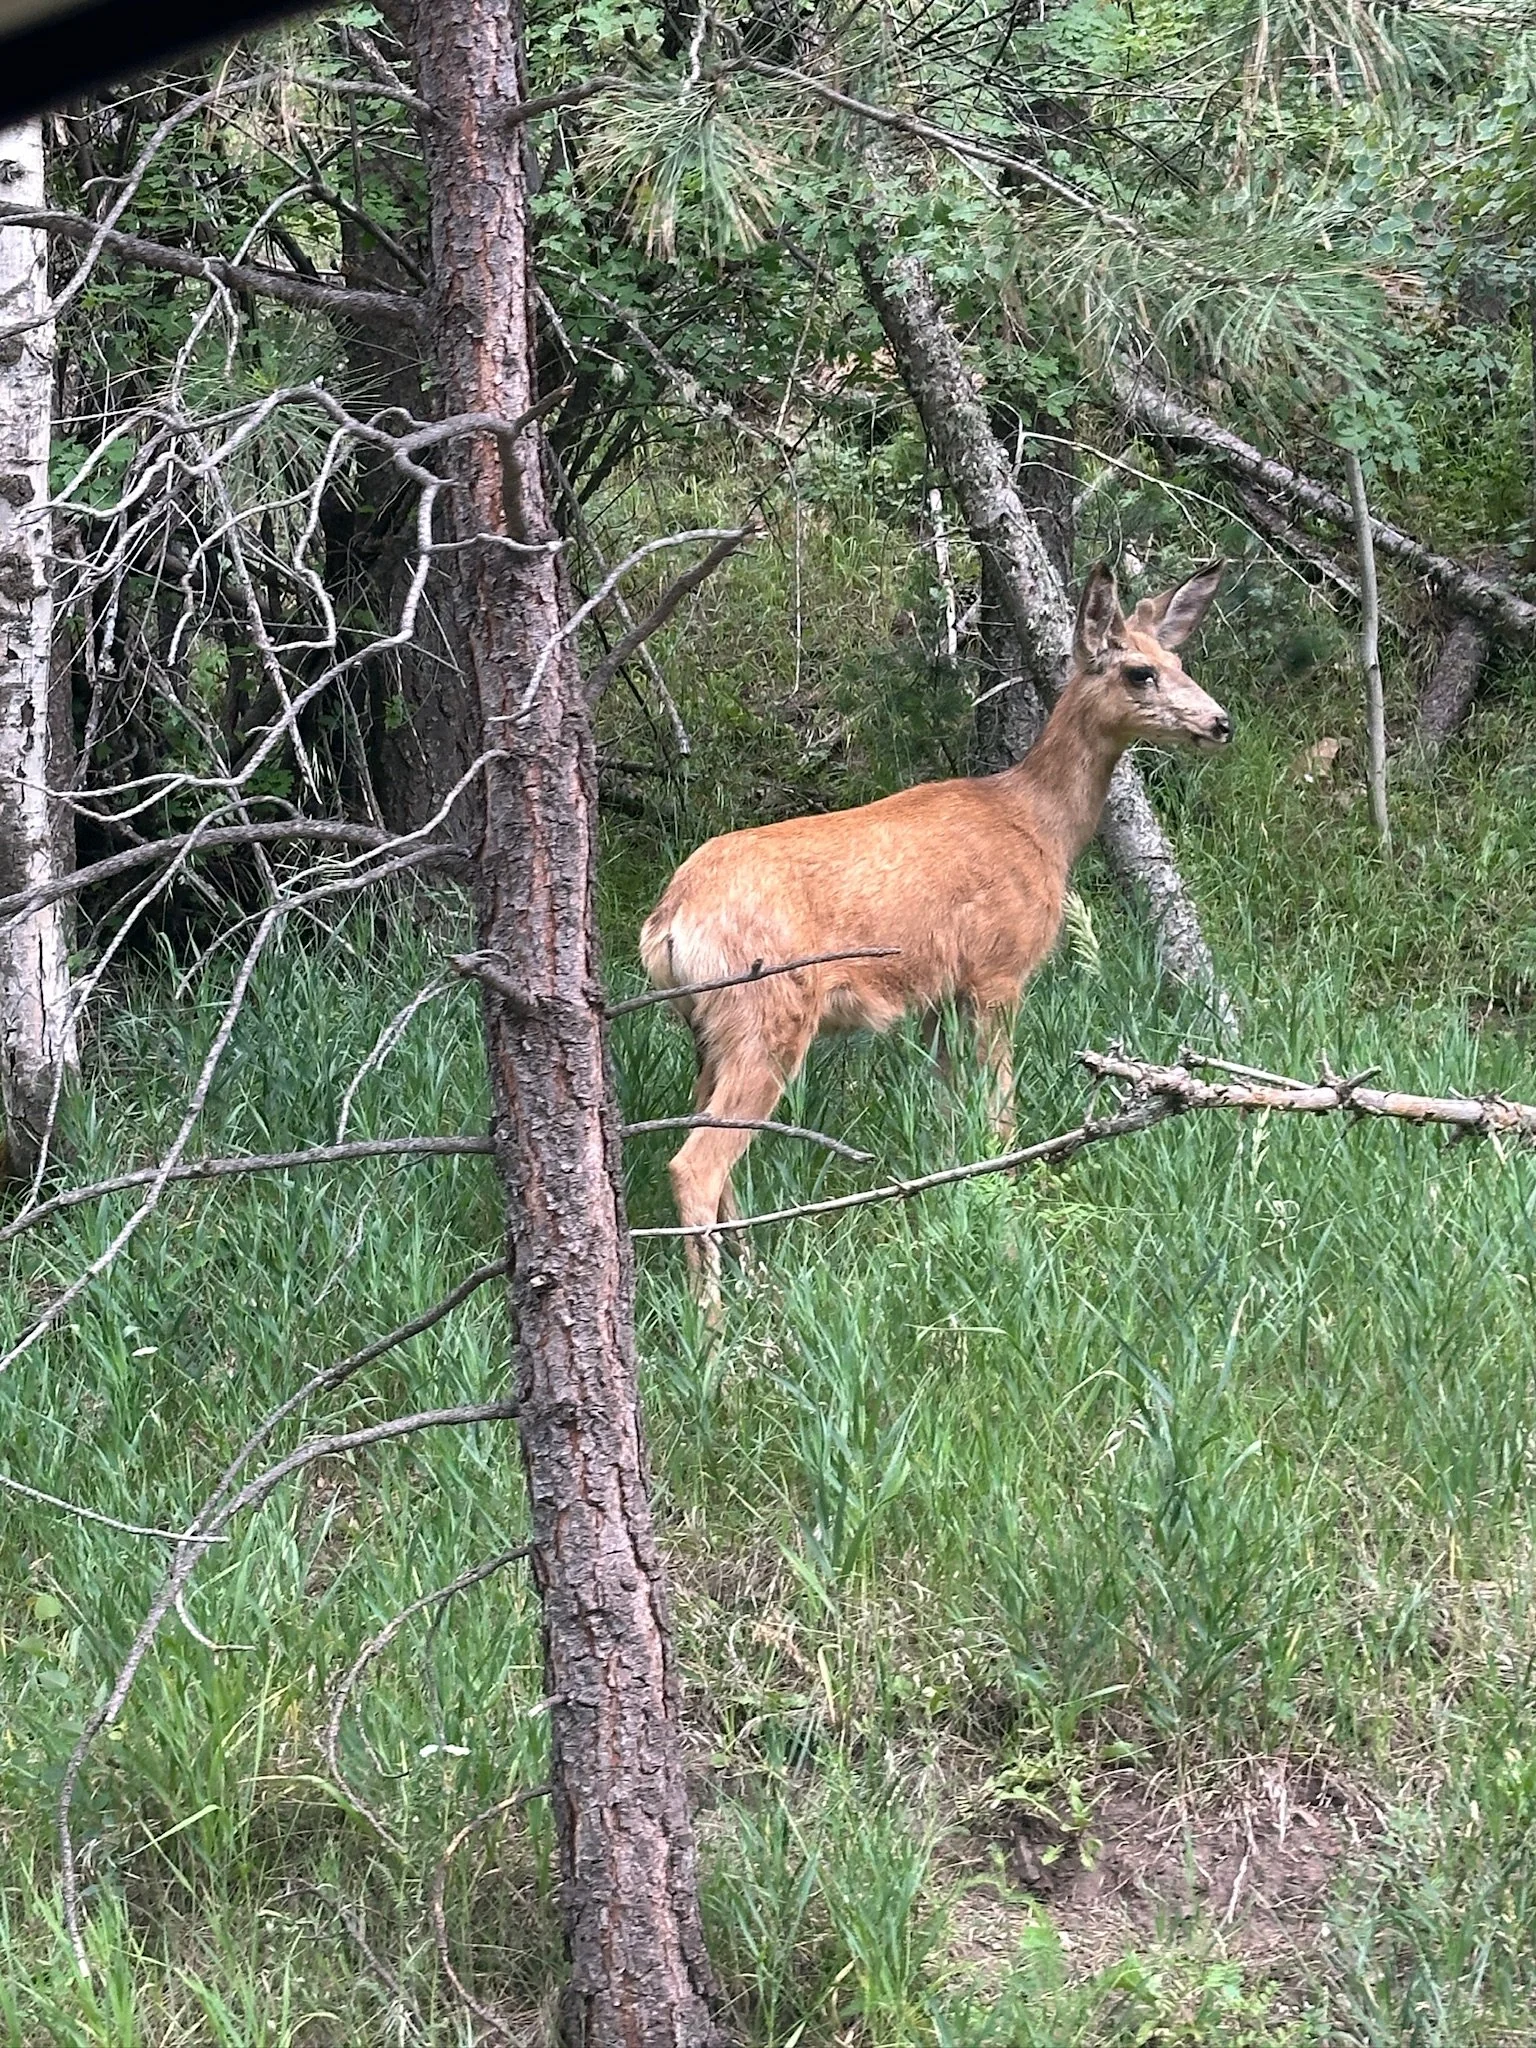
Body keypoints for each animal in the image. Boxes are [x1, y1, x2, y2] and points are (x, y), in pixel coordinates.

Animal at [639, 560, 1231, 1309]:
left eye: (1180, 662)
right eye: (1138, 672)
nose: (1221, 723)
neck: (1039, 824)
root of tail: (667, 921)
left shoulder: (940, 997)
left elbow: (947, 1112)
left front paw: (952, 1194)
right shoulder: (997, 971)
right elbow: (1001, 1107)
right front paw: (1012, 1193)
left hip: (709, 1031)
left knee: (704, 1141)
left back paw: (756, 1282)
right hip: (766, 1013)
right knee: (695, 1164)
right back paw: (713, 1326)